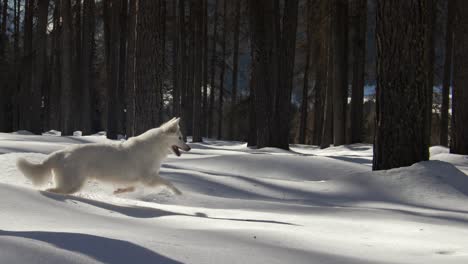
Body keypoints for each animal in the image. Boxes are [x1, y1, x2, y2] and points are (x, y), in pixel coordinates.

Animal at [16, 117, 190, 194]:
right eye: (181, 138)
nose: (188, 148)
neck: (155, 147)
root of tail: (60, 153)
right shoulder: (149, 179)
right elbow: (168, 182)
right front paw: (178, 192)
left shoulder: (136, 179)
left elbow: (131, 188)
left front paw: (119, 192)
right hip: (73, 183)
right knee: (53, 190)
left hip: (74, 183)